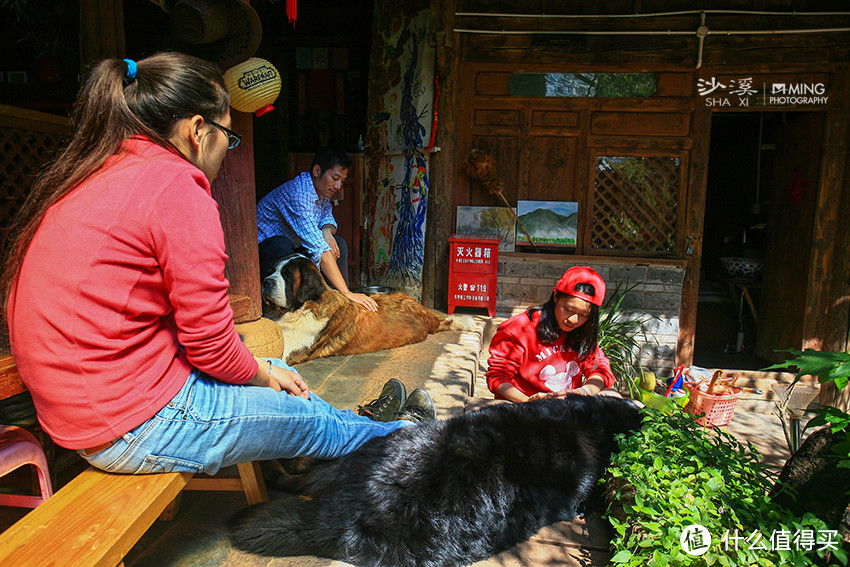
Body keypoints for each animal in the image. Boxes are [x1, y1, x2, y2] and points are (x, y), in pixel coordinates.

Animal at [262, 255, 474, 366]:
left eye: (287, 275)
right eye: (272, 270)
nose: (265, 281)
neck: (305, 307)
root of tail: (427, 315)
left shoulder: (291, 348)